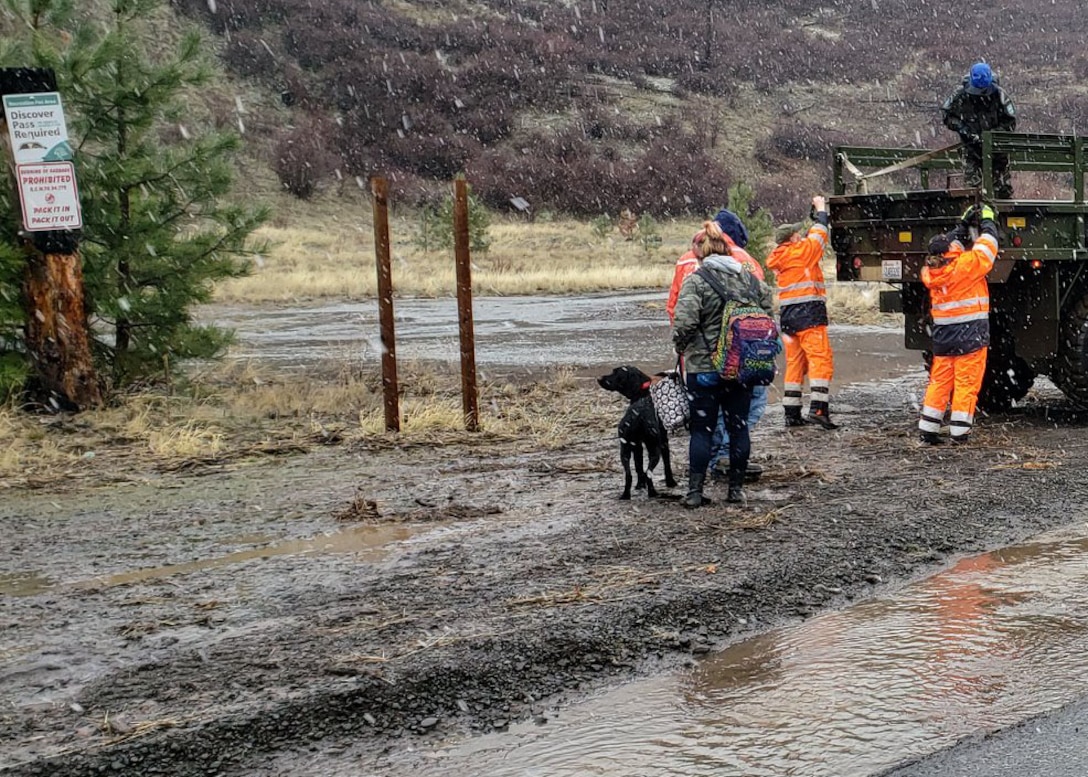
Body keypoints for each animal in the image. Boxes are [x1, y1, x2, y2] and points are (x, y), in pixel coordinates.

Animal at [600, 363, 674, 496]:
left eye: (616, 373)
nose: (600, 378)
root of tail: (638, 416)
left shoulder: (637, 445)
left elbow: (639, 466)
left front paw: (640, 485)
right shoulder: (664, 441)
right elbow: (667, 463)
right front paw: (671, 482)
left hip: (625, 450)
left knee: (629, 474)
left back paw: (626, 495)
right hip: (654, 449)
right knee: (648, 472)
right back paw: (652, 493)